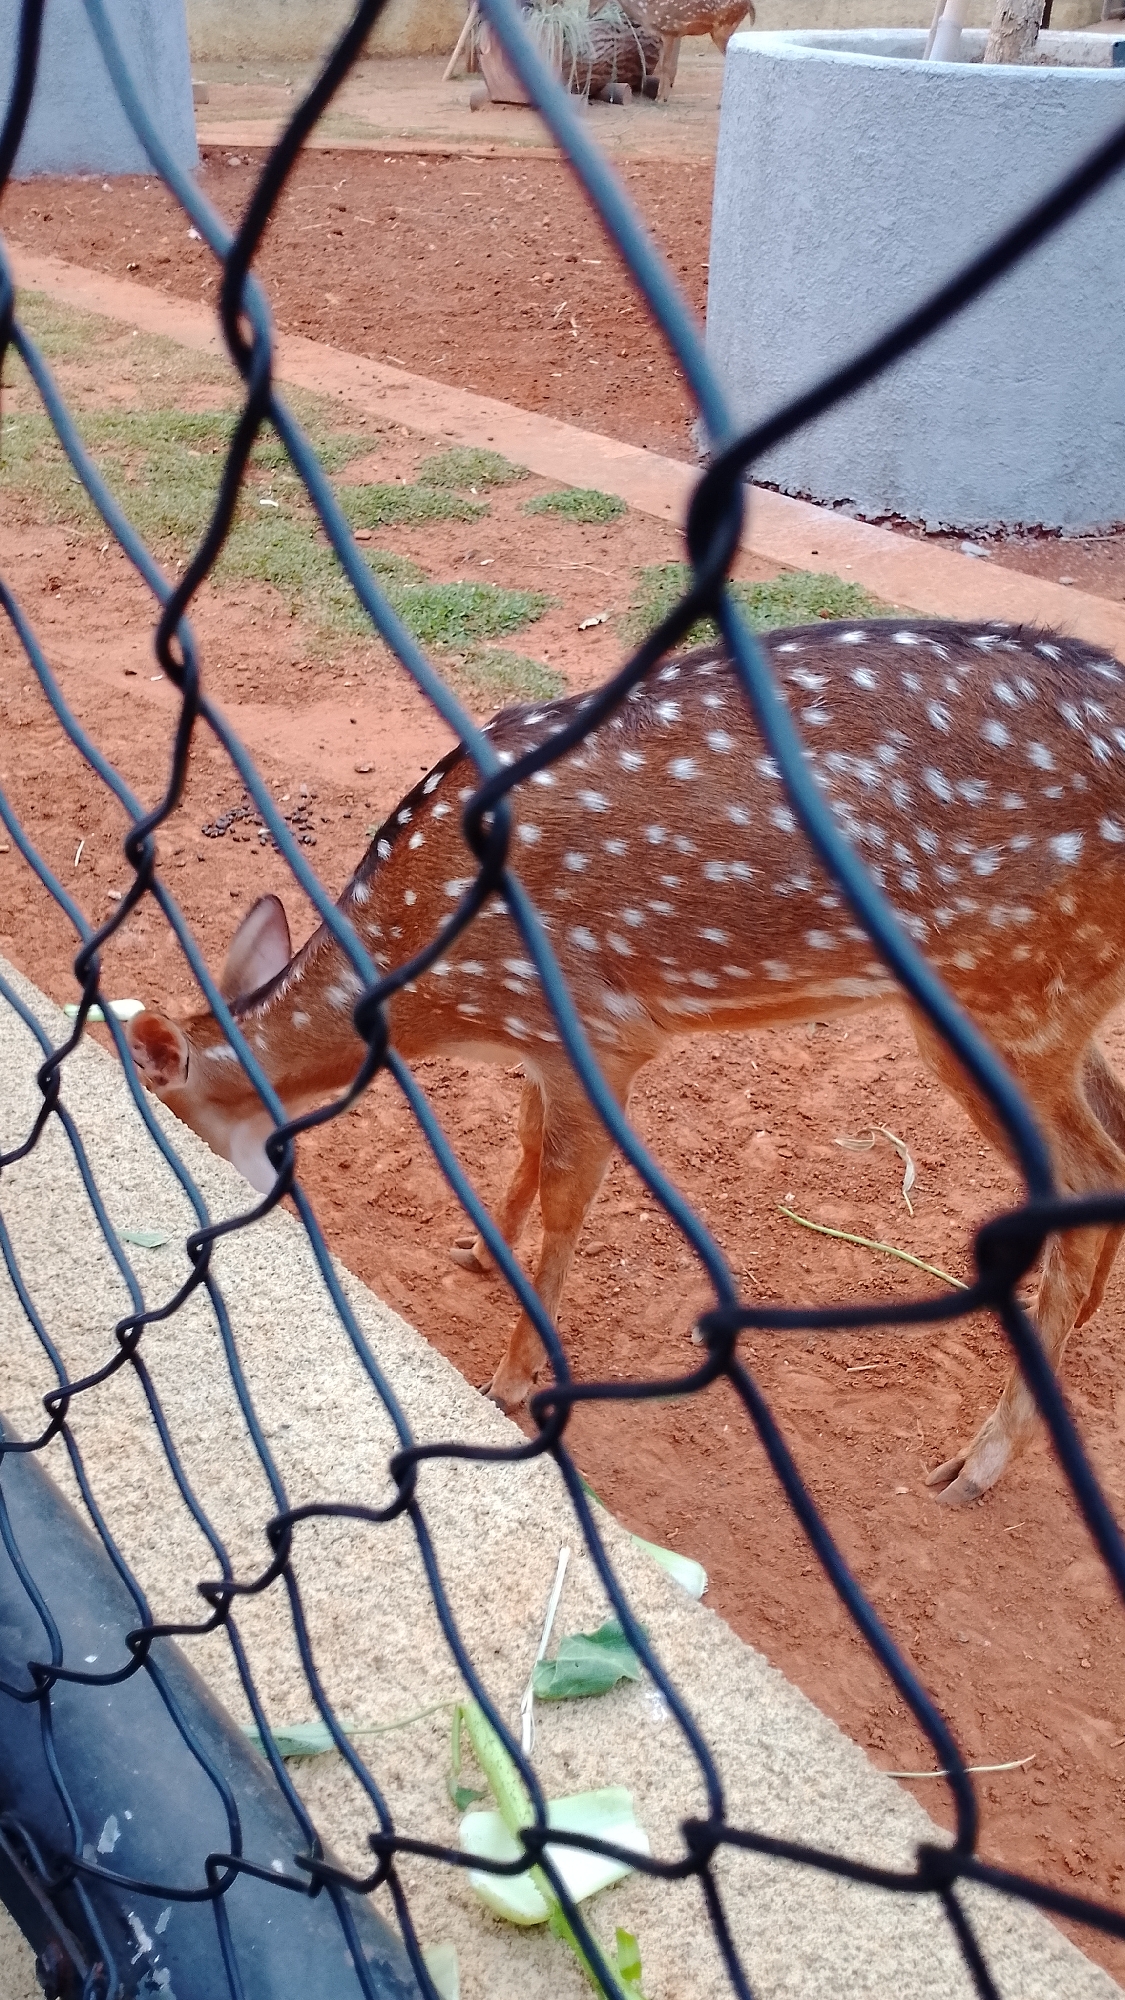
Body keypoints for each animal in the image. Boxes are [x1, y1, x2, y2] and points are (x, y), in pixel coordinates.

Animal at [124, 618, 1125, 1508]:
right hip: (1050, 1003)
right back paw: (1069, 1333)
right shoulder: (541, 1046)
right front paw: (476, 1249)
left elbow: (567, 1195)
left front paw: (512, 1379)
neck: (433, 989)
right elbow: (525, 1143)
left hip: (1004, 991)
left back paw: (975, 1465)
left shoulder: (596, 1029)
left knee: (1086, 1172)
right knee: (1108, 1141)